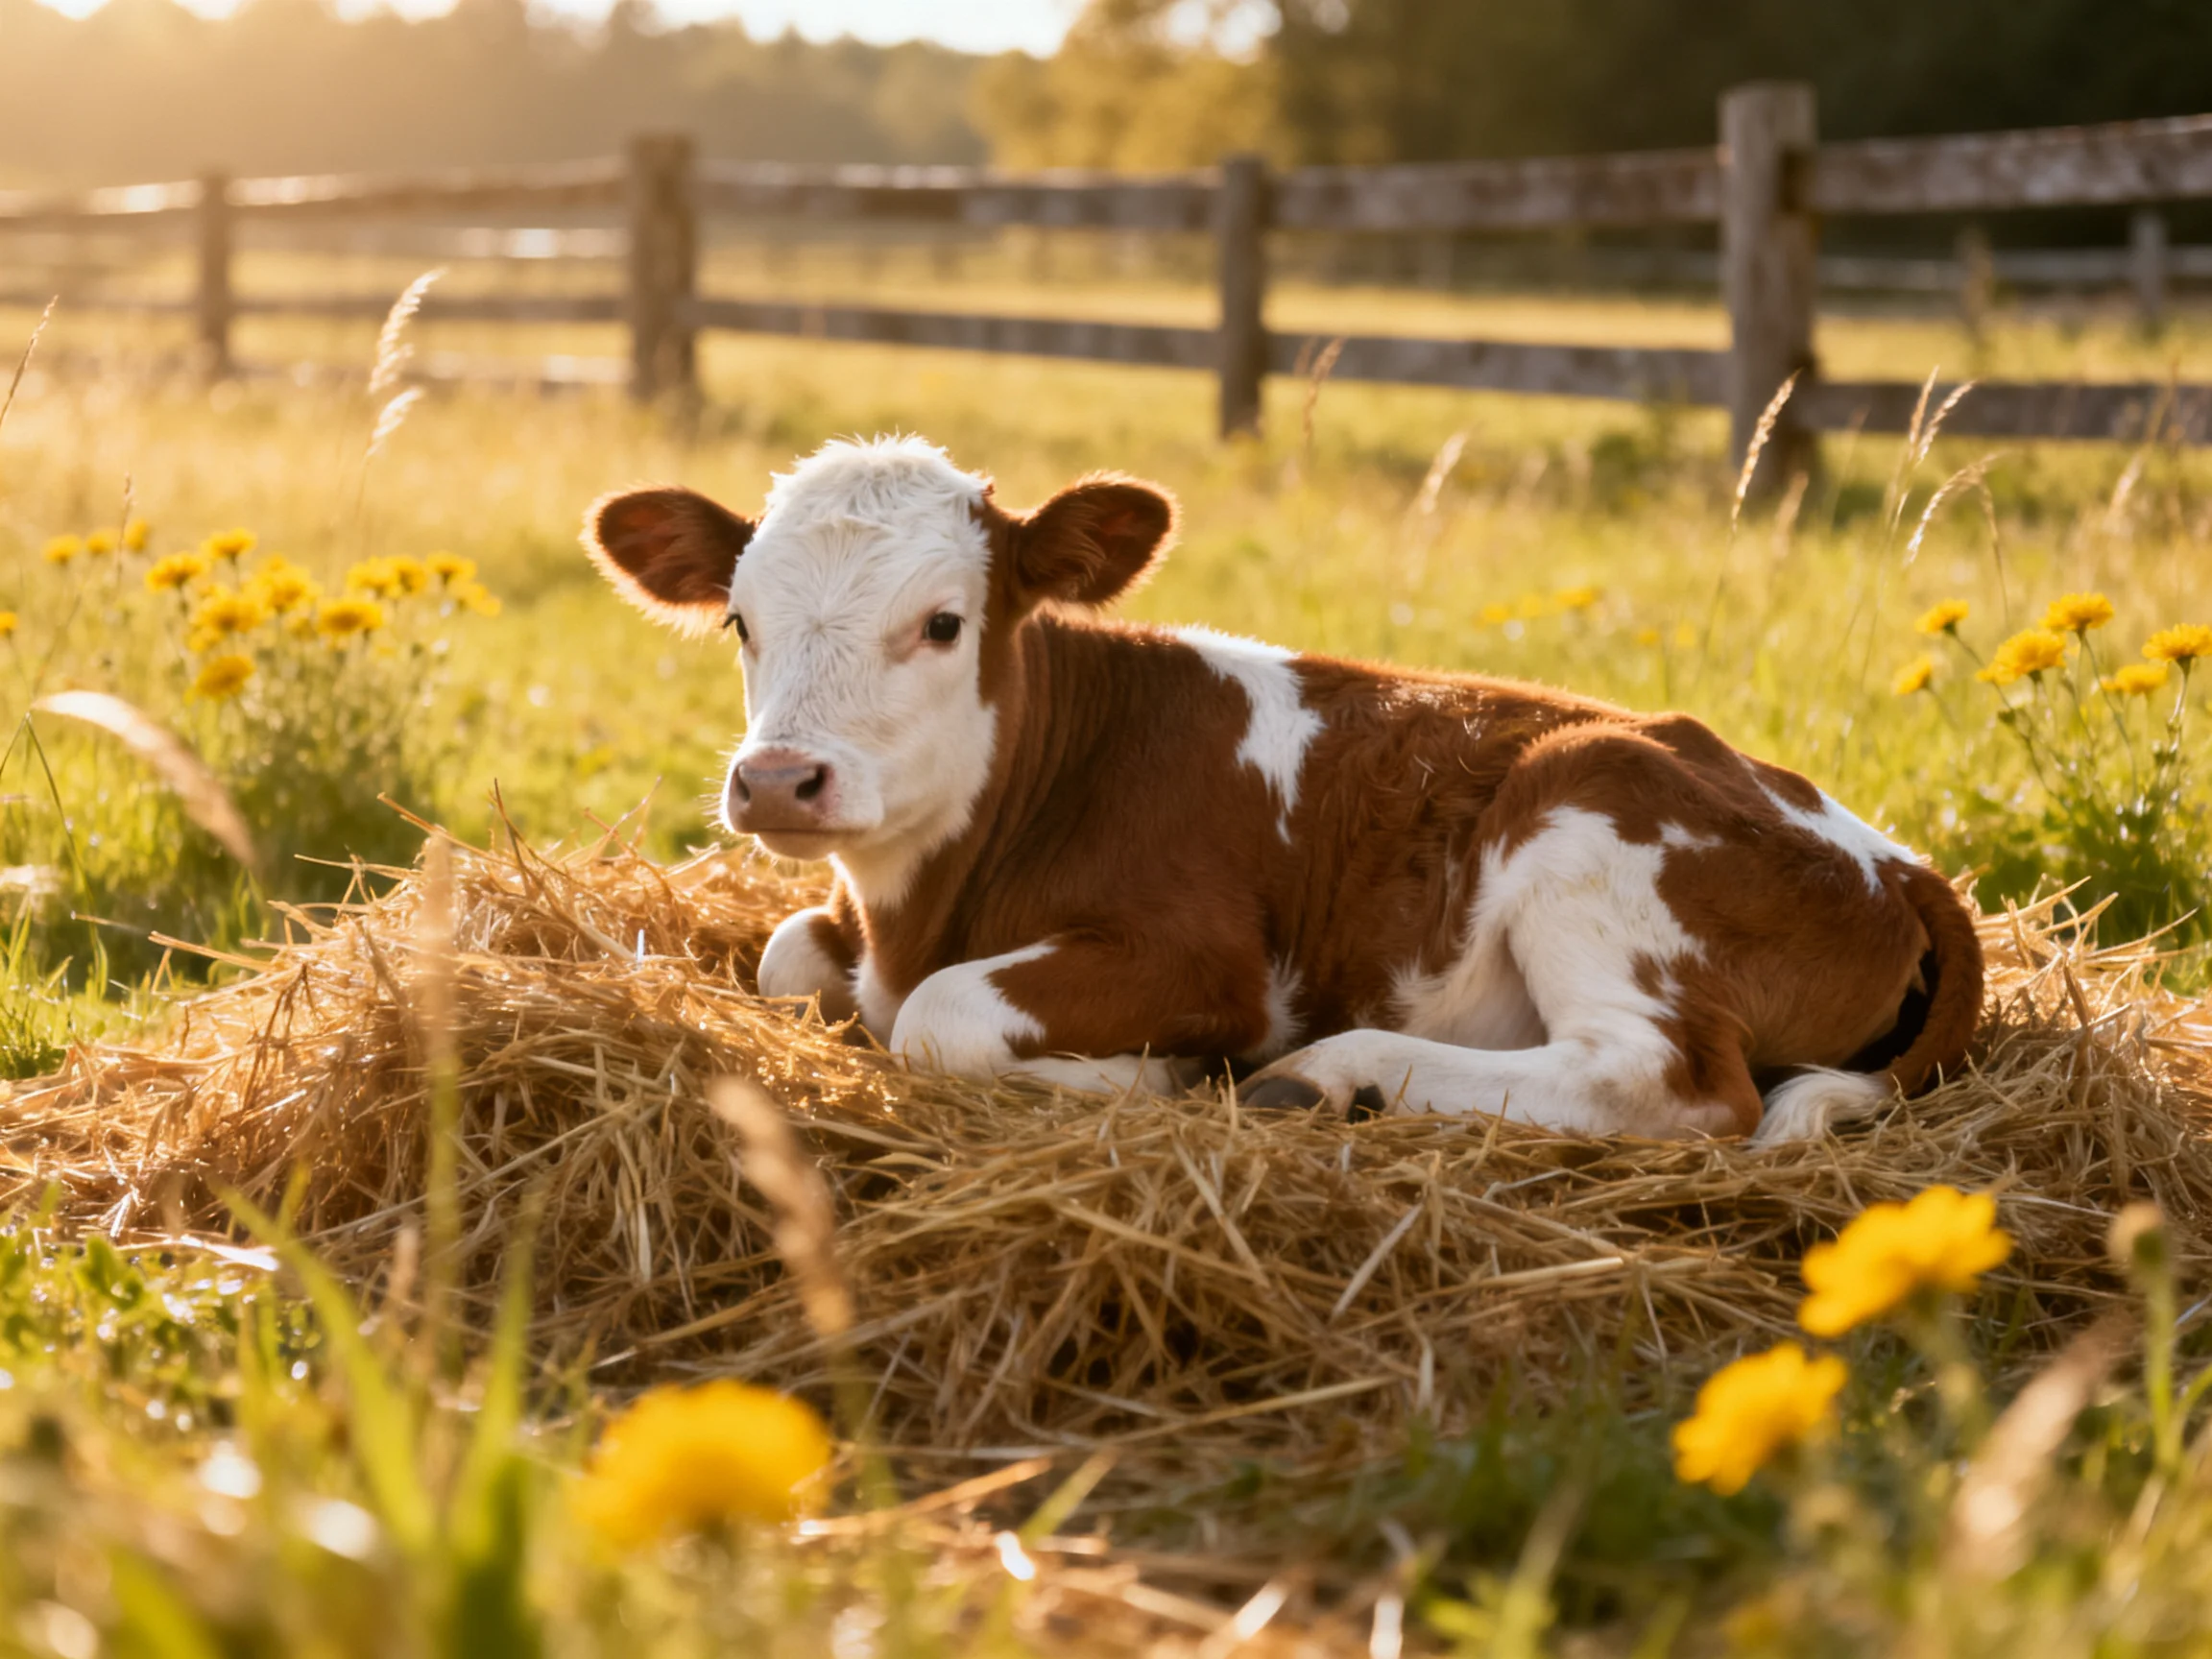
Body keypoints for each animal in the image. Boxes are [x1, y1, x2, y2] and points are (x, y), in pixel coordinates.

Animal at [583, 435, 1982, 1143]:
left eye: (941, 623)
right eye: (743, 622)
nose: (780, 780)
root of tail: (1898, 859)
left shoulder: (1214, 962)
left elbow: (937, 1015)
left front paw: (1144, 1078)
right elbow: (787, 957)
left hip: (1586, 810)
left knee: (1671, 1084)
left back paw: (1327, 1076)